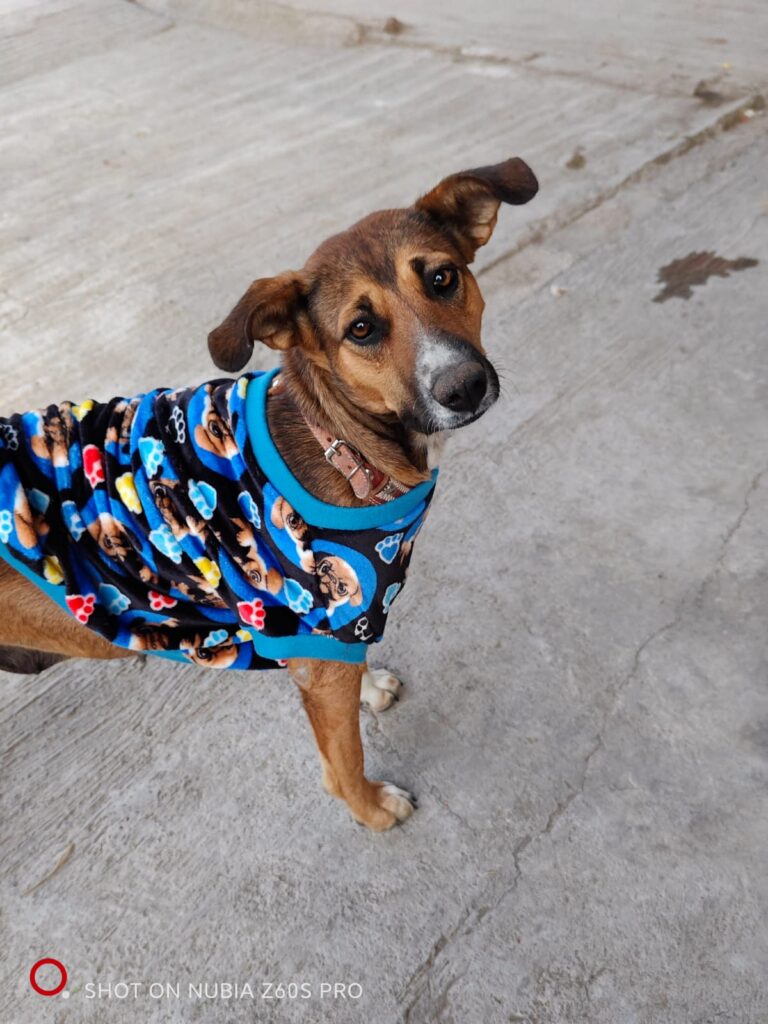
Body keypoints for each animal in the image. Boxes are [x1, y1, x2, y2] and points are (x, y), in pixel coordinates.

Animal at [0, 157, 538, 830]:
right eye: (361, 328)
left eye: (443, 278)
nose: (463, 386)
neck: (342, 440)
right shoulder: (319, 641)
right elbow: (344, 761)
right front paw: (371, 810)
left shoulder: (334, 630)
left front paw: (369, 690)